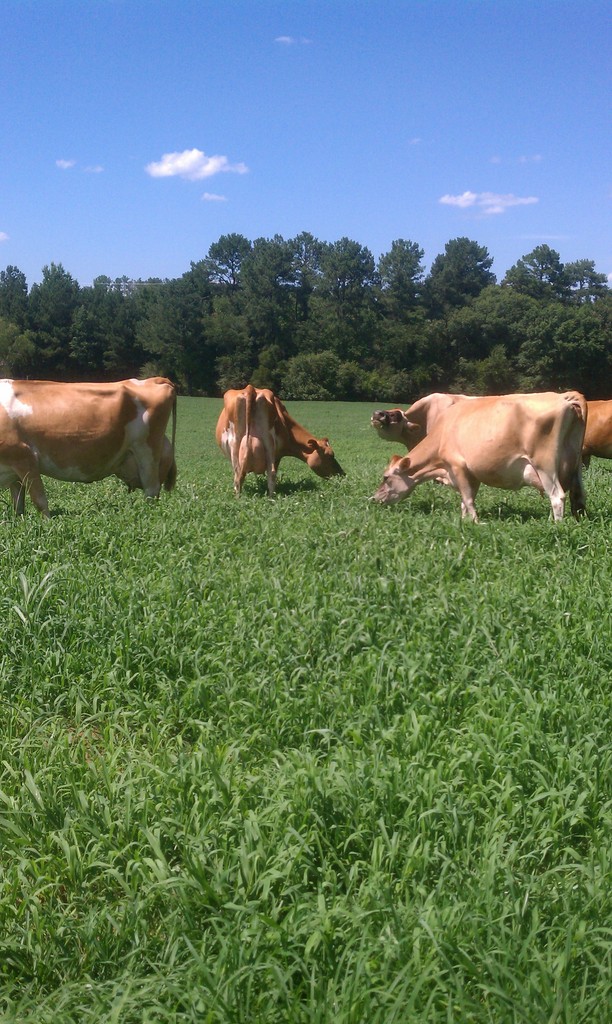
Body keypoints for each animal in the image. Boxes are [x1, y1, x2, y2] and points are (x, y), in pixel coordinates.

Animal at [0, 376, 177, 516]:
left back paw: (148, 515)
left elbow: (39, 500)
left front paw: (47, 525)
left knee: (151, 490)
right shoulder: (12, 469)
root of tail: (154, 379)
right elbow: (18, 505)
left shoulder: (25, 457)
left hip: (147, 452)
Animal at [217, 385, 345, 495]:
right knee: (268, 474)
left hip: (240, 444)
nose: (342, 474)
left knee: (241, 475)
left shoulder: (277, 455)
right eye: (330, 456)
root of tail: (250, 388)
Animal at [372, 389, 589, 524]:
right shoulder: (471, 473)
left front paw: (475, 523)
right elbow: (465, 500)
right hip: (575, 464)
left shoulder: (457, 465)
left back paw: (555, 525)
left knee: (557, 496)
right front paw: (464, 521)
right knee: (578, 496)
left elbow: (468, 500)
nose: (373, 498)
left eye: (386, 478)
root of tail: (564, 396)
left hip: (545, 465)